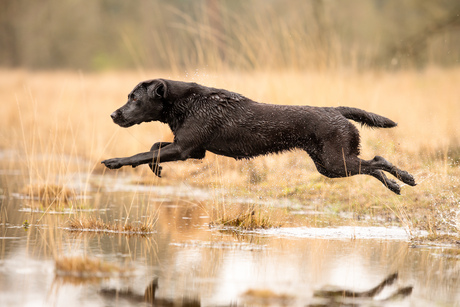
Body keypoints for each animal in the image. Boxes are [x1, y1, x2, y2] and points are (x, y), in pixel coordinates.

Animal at [101, 79, 416, 195]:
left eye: (134, 98)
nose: (113, 115)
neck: (186, 102)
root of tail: (335, 110)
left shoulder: (185, 150)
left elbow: (140, 153)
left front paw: (115, 161)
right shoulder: (191, 150)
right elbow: (154, 147)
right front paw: (156, 168)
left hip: (335, 162)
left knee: (378, 160)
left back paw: (405, 178)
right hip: (329, 165)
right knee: (372, 165)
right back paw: (395, 186)